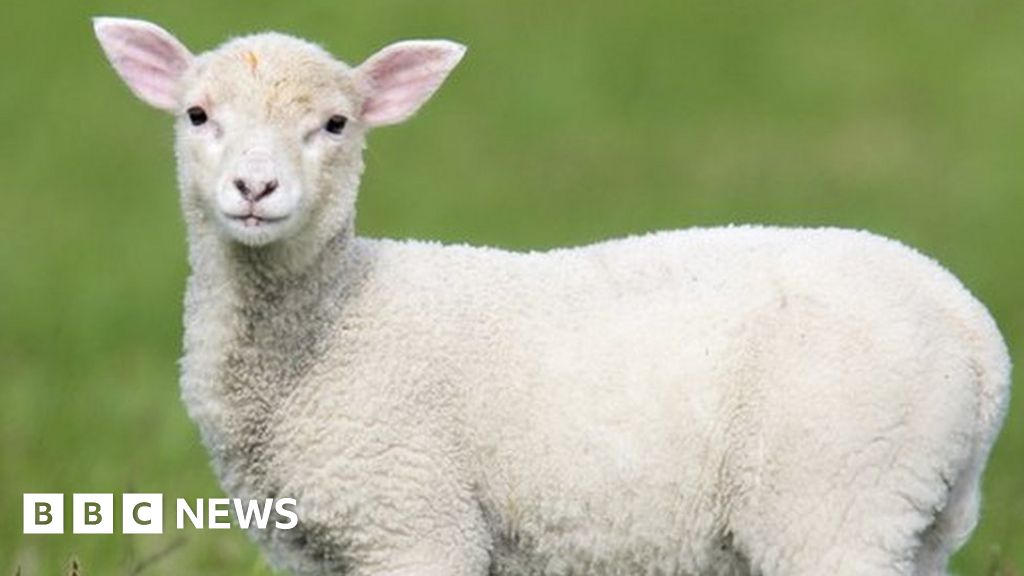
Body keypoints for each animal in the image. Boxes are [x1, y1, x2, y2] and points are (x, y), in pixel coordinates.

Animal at [92, 15, 1011, 569]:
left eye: (336, 124)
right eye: (197, 115)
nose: (255, 188)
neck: (338, 316)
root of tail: (975, 333)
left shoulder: (415, 520)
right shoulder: (318, 543)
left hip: (834, 492)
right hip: (914, 513)